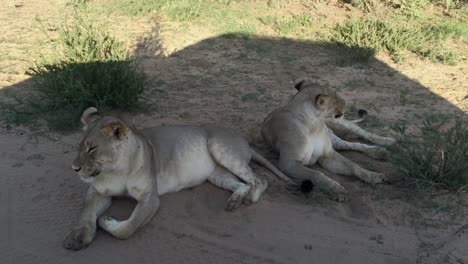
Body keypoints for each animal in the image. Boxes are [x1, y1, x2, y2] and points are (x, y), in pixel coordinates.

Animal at [63, 106, 290, 250]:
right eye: (79, 146)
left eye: (92, 148)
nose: (74, 168)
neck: (116, 170)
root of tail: (244, 140)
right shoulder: (97, 191)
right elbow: (86, 213)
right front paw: (77, 238)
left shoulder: (150, 198)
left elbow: (129, 227)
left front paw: (106, 221)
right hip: (217, 174)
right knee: (240, 184)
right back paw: (234, 201)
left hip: (221, 148)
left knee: (259, 180)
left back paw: (251, 197)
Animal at [260, 80, 394, 200]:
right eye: (335, 96)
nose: (345, 102)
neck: (313, 123)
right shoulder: (289, 163)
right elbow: (316, 175)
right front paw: (337, 190)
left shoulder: (328, 154)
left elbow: (353, 165)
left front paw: (374, 176)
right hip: (336, 140)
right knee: (351, 144)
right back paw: (380, 152)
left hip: (339, 123)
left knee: (363, 134)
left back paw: (388, 143)